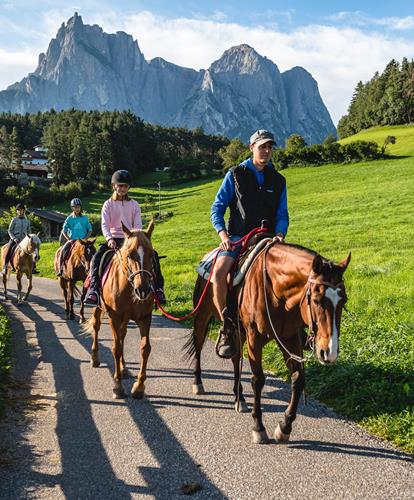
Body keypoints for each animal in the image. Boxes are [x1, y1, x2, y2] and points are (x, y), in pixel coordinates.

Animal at [84, 222, 155, 398]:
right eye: (130, 255)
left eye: (151, 255)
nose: (143, 290)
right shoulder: (114, 317)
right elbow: (116, 348)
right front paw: (118, 385)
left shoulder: (145, 318)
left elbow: (145, 348)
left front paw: (139, 386)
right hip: (99, 308)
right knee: (96, 326)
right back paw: (95, 358)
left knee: (122, 336)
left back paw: (123, 368)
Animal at [186, 242, 350, 446]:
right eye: (316, 300)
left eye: (343, 300)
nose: (329, 352)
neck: (275, 291)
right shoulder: (254, 338)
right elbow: (258, 380)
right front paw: (258, 427)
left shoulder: (289, 338)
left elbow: (298, 379)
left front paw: (284, 427)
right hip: (202, 316)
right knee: (199, 345)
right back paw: (198, 383)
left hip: (238, 331)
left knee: (235, 358)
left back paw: (239, 398)